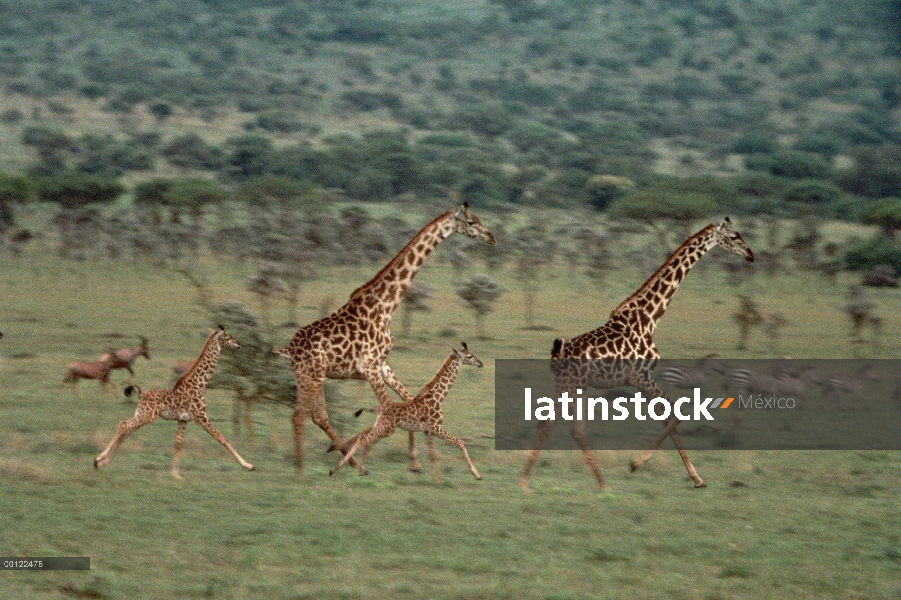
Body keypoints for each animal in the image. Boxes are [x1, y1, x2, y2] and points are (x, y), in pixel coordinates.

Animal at [93, 328, 253, 478]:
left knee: (126, 429)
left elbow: (178, 444)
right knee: (123, 425)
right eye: (228, 337)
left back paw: (102, 463)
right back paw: (99, 459)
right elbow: (222, 438)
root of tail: (140, 394)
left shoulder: (183, 420)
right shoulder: (201, 416)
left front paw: (175, 474)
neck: (199, 385)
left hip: (142, 414)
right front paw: (248, 465)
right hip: (148, 415)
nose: (239, 344)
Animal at [330, 342, 486, 482]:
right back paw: (340, 470)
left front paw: (438, 481)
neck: (438, 397)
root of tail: (380, 408)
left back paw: (352, 469)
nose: (481, 363)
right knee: (364, 440)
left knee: (364, 440)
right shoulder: (436, 427)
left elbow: (432, 455)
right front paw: (476, 475)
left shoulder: (428, 431)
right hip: (387, 429)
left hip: (381, 427)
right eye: (470, 356)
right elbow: (460, 442)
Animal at [520, 218, 752, 490]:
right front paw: (635, 464)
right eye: (734, 236)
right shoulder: (641, 376)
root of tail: (557, 353)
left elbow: (668, 418)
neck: (650, 318)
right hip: (571, 383)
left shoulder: (642, 379)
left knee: (559, 425)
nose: (750, 254)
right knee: (560, 425)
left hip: (573, 385)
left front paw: (696, 478)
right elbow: (676, 416)